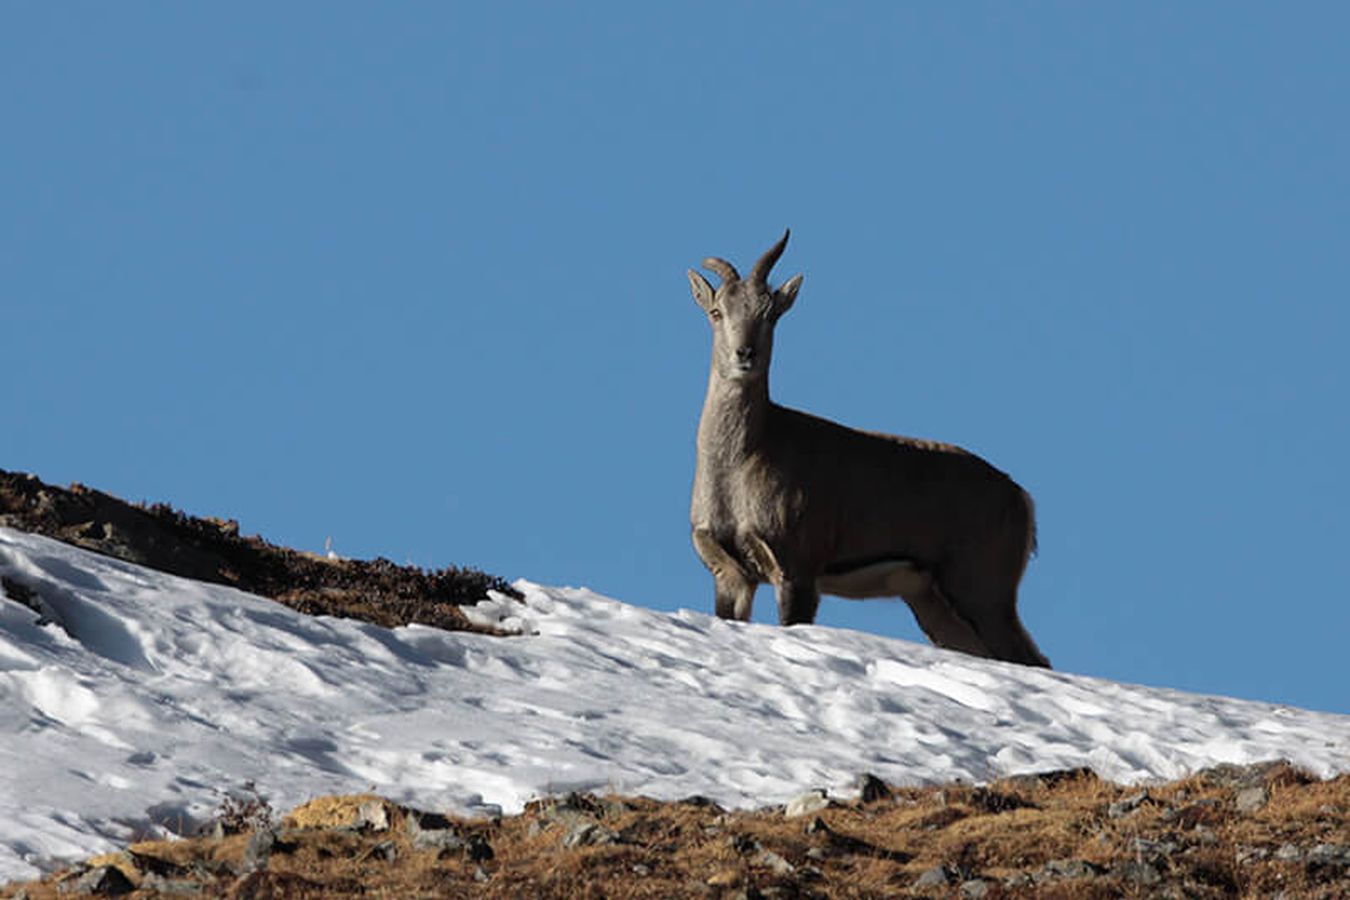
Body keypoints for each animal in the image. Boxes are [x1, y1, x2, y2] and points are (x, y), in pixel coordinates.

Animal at [688, 231, 1050, 667]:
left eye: (770, 313)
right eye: (717, 311)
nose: (746, 355)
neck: (743, 461)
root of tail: (1022, 499)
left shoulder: (797, 564)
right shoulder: (731, 573)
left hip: (981, 585)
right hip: (931, 599)